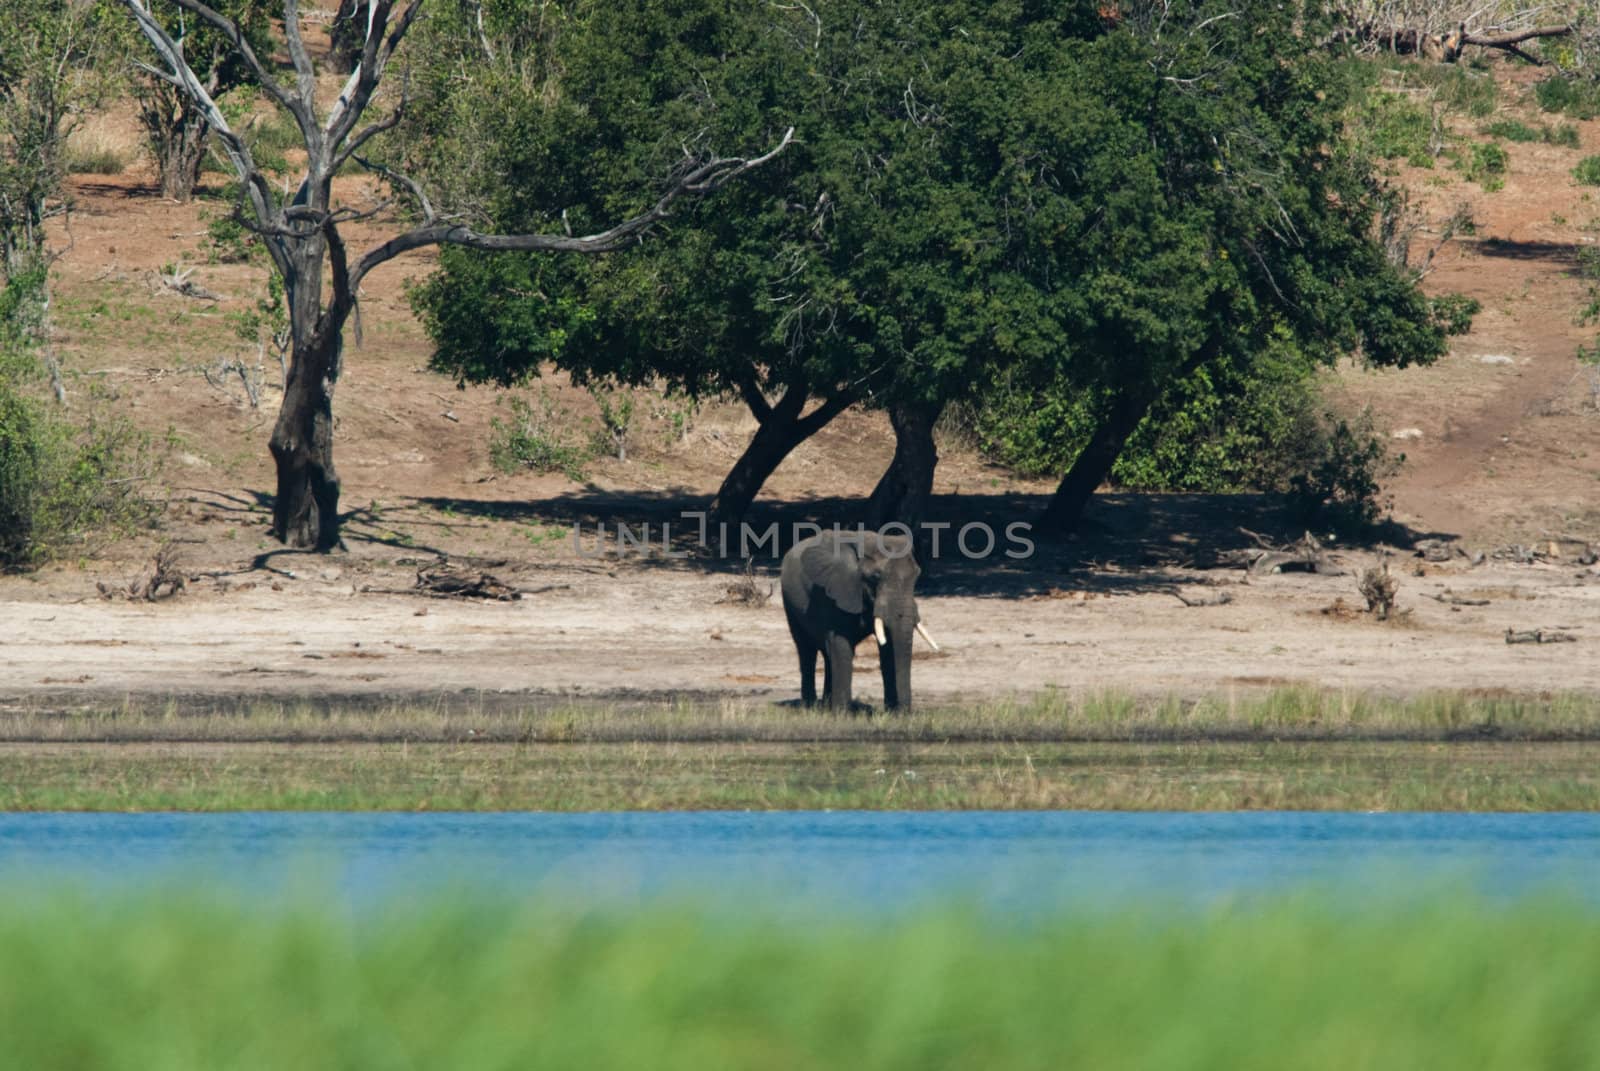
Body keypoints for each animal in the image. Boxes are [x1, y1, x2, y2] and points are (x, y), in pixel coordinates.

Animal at [777, 528, 934, 710]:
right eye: (875, 576)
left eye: (917, 575)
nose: (905, 713)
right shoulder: (833, 592)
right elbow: (841, 646)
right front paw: (841, 714)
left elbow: (888, 649)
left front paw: (890, 713)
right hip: (789, 602)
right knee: (806, 650)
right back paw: (810, 707)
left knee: (827, 653)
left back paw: (826, 706)